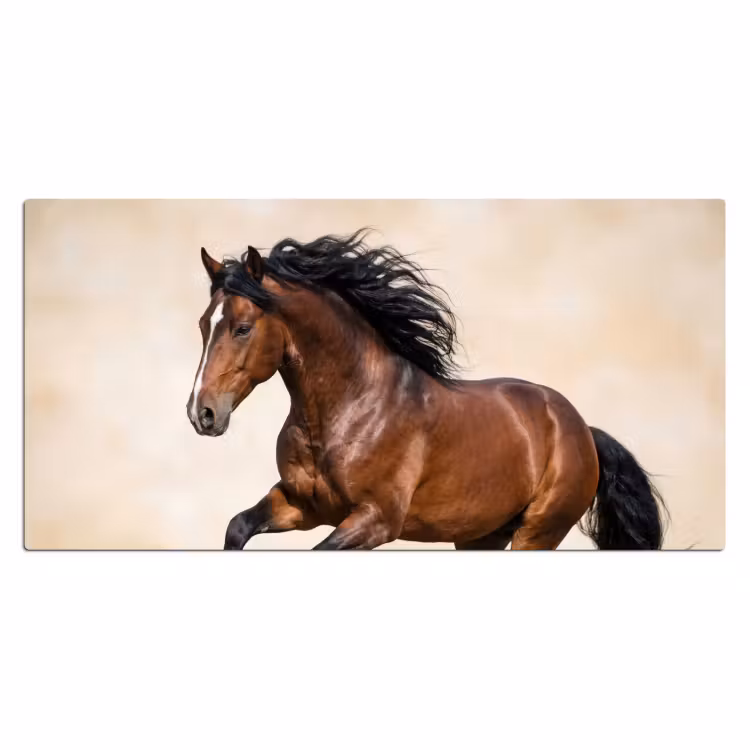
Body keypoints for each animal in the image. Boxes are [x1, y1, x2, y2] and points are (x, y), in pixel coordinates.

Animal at [187, 230, 667, 550]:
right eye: (204, 324)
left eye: (243, 327)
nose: (201, 413)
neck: (349, 409)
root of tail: (581, 428)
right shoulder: (303, 505)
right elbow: (237, 527)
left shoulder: (376, 520)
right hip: (481, 536)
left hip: (538, 532)